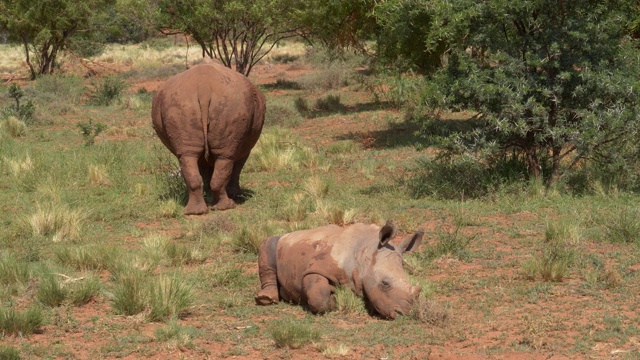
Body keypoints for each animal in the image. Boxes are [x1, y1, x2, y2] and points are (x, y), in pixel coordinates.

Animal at [152, 62, 264, 215]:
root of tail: (204, 88)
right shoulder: (244, 149)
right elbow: (236, 168)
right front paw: (235, 194)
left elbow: (205, 170)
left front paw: (209, 194)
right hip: (231, 104)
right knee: (225, 157)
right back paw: (228, 206)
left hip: (180, 103)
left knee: (188, 156)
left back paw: (195, 212)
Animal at [255, 224, 424, 320]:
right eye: (385, 283)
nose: (404, 313)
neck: (366, 253)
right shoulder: (316, 267)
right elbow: (318, 295)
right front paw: (333, 299)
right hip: (282, 241)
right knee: (268, 244)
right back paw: (265, 299)